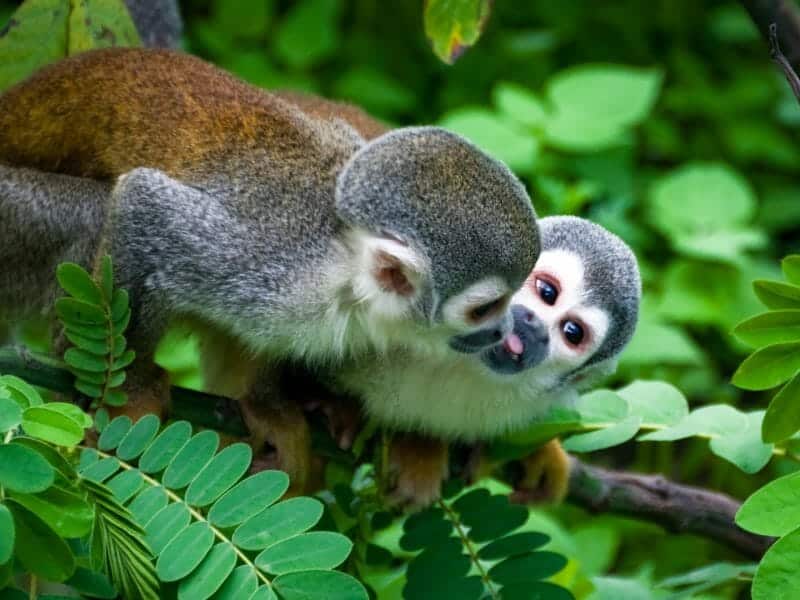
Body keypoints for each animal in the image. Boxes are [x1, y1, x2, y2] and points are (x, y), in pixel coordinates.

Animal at [0, 48, 539, 491]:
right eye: (486, 308)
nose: (506, 332)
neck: (341, 264)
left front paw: (271, 405)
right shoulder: (270, 267)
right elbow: (143, 203)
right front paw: (127, 394)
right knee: (97, 216)